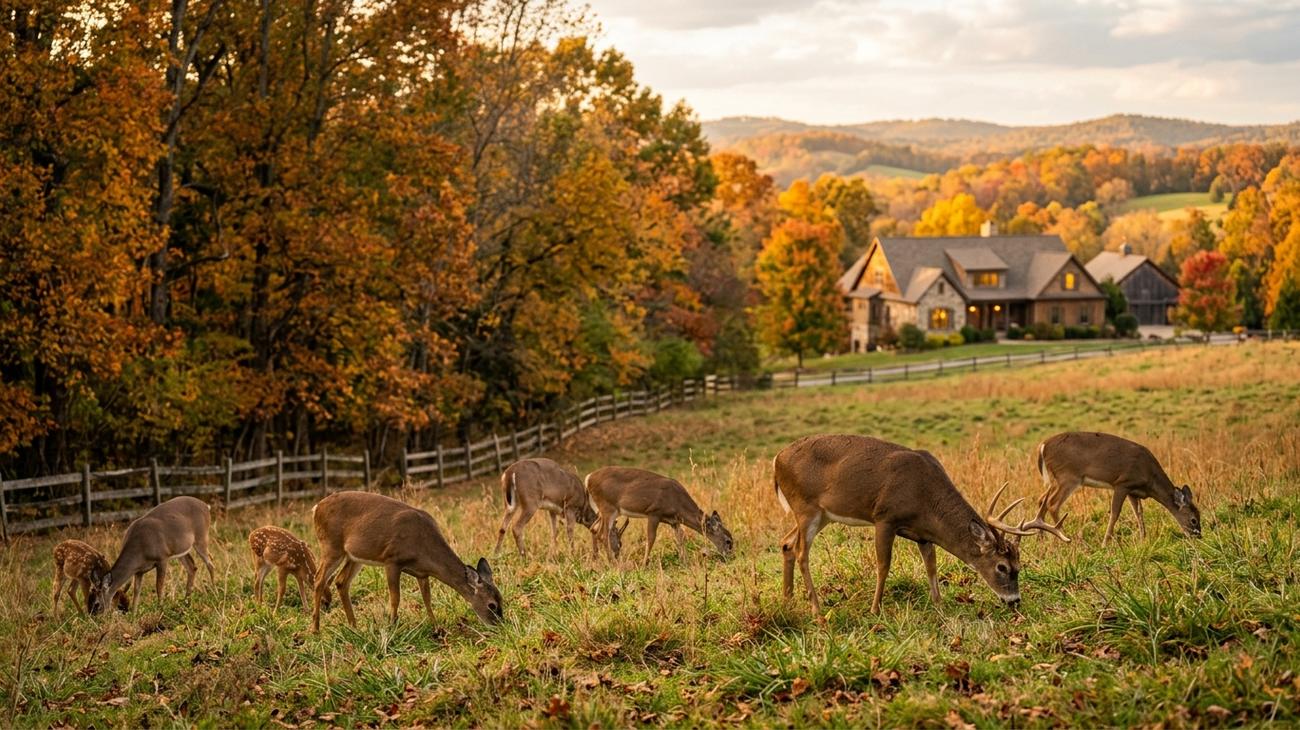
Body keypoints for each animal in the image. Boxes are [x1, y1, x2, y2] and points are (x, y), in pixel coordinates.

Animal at [310, 491, 502, 633]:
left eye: (501, 599)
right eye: (492, 605)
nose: (500, 626)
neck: (423, 548)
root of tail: (316, 508)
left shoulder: (422, 573)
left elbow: (427, 599)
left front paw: (436, 627)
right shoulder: (392, 560)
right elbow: (396, 598)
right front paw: (392, 626)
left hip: (354, 556)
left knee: (341, 581)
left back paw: (354, 627)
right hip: (331, 546)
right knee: (318, 579)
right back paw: (315, 629)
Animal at [585, 466, 734, 566]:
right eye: (728, 541)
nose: (730, 556)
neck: (678, 503)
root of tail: (588, 478)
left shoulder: (674, 521)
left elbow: (680, 539)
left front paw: (685, 562)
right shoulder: (654, 512)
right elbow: (651, 538)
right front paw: (644, 565)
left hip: (602, 510)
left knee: (594, 528)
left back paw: (596, 561)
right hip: (608, 507)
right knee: (603, 533)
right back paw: (612, 563)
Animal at [773, 434, 1069, 613]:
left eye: (1020, 566)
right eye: (1002, 567)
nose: (1014, 601)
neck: (925, 496)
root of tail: (777, 459)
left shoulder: (923, 534)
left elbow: (931, 565)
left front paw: (939, 604)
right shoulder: (885, 517)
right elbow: (884, 565)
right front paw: (875, 609)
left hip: (820, 514)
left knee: (787, 543)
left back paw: (788, 599)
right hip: (806, 507)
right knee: (801, 552)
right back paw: (816, 608)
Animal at [1037, 431, 1202, 545]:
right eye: (1193, 520)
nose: (1199, 537)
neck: (1150, 477)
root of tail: (1043, 446)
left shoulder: (1133, 492)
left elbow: (1139, 514)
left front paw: (1143, 539)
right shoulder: (1122, 483)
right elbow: (1115, 513)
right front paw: (1105, 543)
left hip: (1056, 480)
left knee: (1041, 500)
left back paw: (1042, 539)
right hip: (1068, 476)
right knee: (1052, 504)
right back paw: (1067, 539)